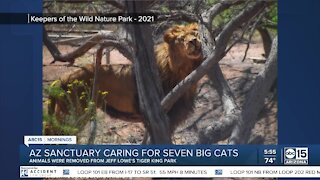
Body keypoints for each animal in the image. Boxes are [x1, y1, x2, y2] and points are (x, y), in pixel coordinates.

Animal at [45, 23, 202, 139]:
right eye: (181, 38)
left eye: (195, 34)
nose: (194, 41)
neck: (183, 70)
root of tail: (60, 80)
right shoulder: (163, 117)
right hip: (72, 114)